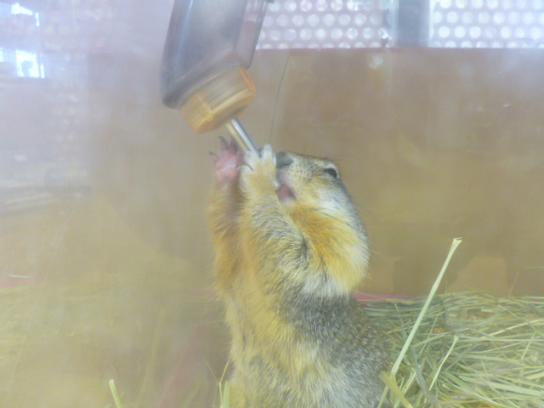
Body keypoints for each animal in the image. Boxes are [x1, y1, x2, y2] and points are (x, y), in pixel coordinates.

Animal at [209, 139, 389, 408]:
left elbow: (299, 255)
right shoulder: (238, 251)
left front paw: (261, 173)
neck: (295, 217)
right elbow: (229, 232)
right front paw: (228, 162)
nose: (282, 156)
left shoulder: (341, 246)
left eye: (331, 173)